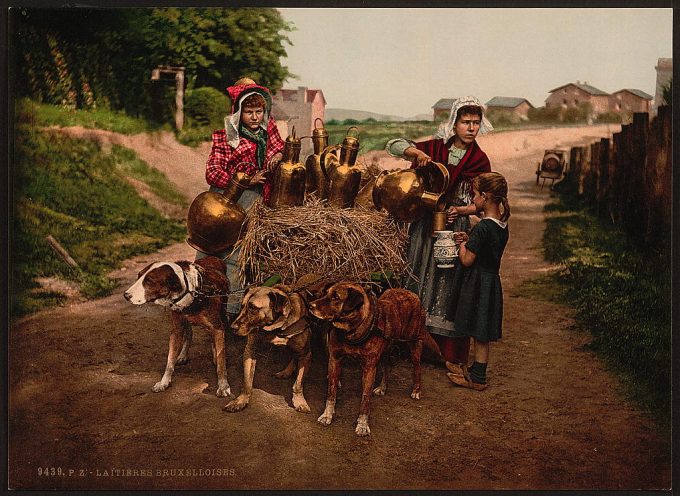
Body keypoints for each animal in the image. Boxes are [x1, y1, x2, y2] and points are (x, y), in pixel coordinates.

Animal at [125, 258, 234, 398]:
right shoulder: (176, 330)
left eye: (149, 280)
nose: (125, 295)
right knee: (189, 333)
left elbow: (221, 362)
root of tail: (213, 258)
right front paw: (164, 382)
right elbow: (170, 360)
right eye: (138, 276)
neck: (192, 292)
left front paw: (223, 385)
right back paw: (183, 355)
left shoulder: (218, 328)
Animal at [308, 282, 440, 438]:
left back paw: (416, 390)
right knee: (388, 366)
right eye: (325, 293)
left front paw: (362, 425)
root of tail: (413, 294)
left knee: (418, 368)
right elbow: (331, 392)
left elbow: (365, 399)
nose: (310, 305)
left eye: (336, 297)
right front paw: (327, 415)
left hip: (414, 344)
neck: (351, 331)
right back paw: (383, 387)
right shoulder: (335, 360)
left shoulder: (369, 368)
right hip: (386, 349)